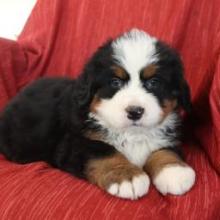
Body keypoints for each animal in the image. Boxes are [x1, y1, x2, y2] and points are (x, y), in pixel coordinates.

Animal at [0, 28, 196, 199]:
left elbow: (164, 149)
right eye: (115, 82)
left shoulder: (167, 135)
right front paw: (127, 176)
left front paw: (174, 171)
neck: (132, 134)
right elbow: (104, 151)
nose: (135, 111)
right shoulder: (75, 143)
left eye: (154, 82)